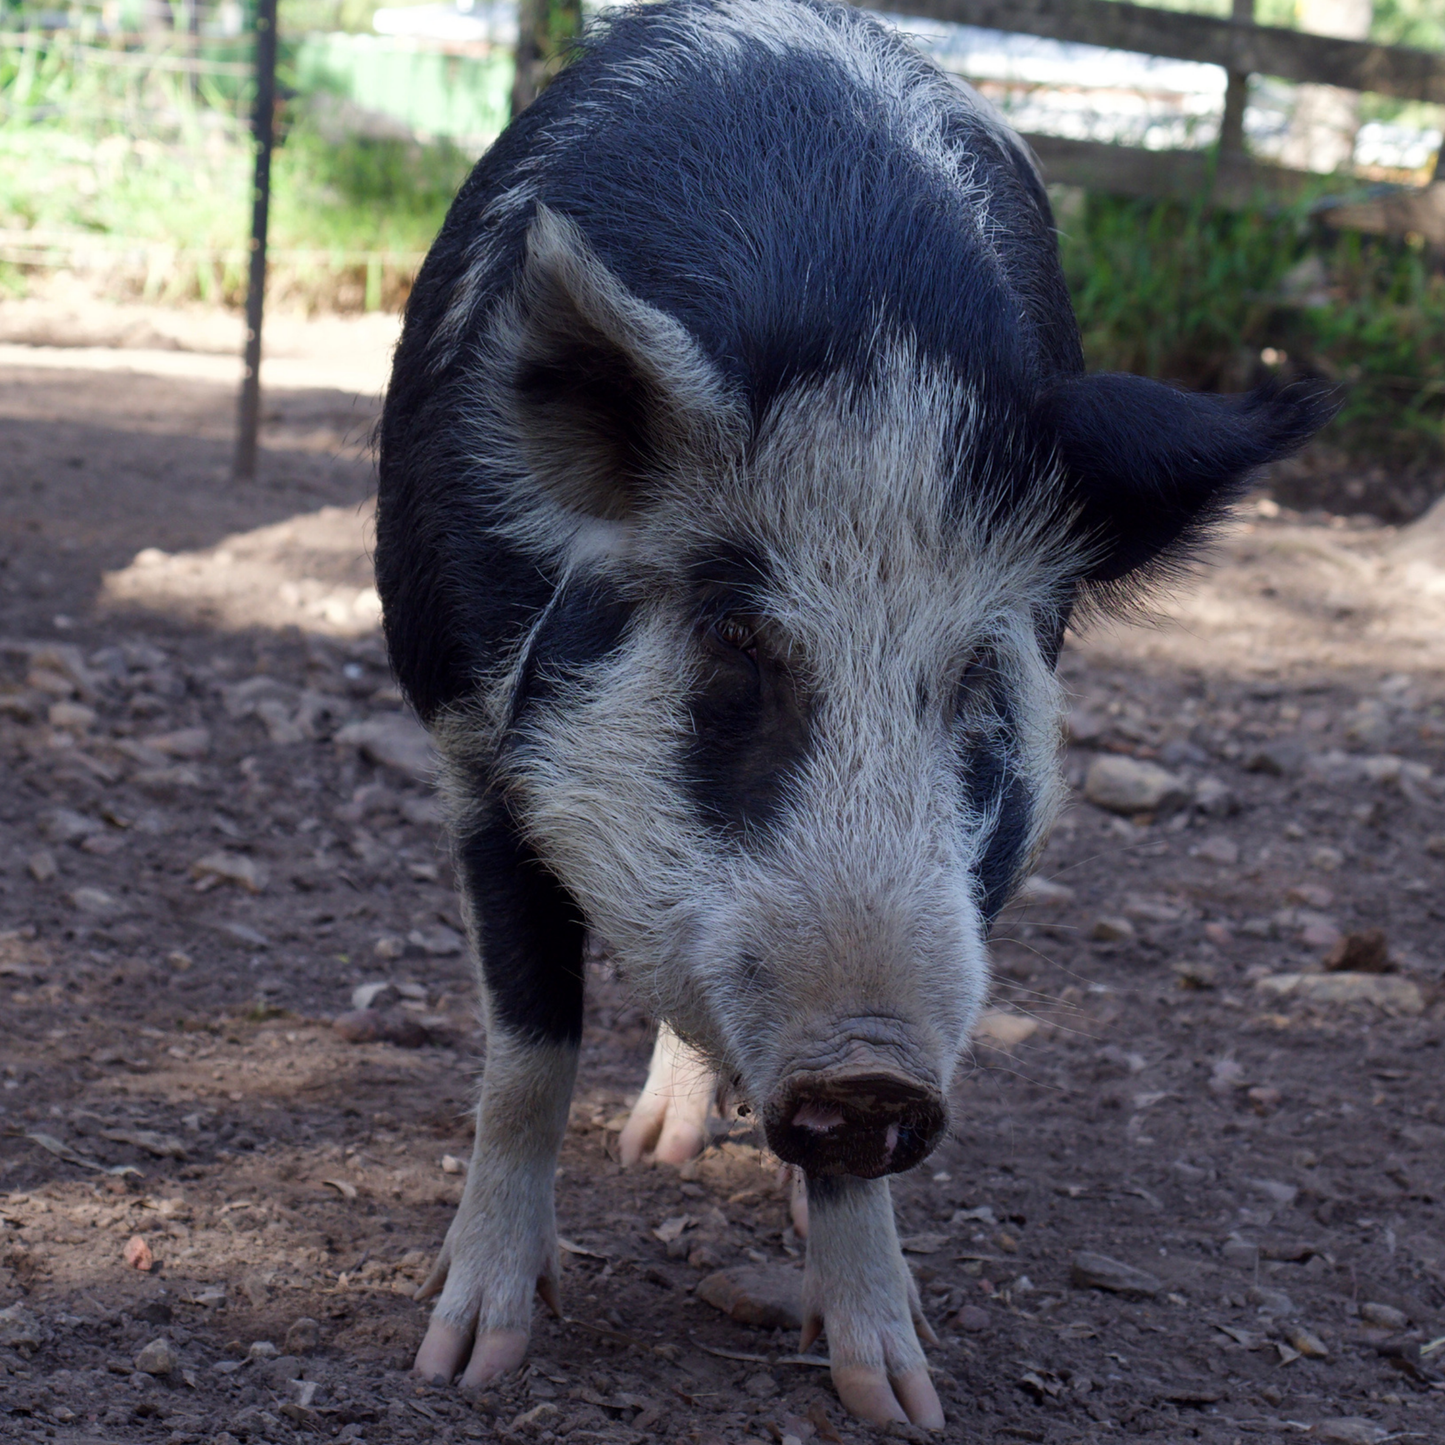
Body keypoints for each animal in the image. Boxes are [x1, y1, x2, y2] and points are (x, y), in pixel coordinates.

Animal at [374, 0, 1333, 1426]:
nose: (870, 1063)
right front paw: (467, 1357)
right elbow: (527, 1052)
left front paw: (898, 1393)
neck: (864, 350)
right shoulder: (470, 746)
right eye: (734, 642)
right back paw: (651, 1152)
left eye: (978, 676)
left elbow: (850, 1167)